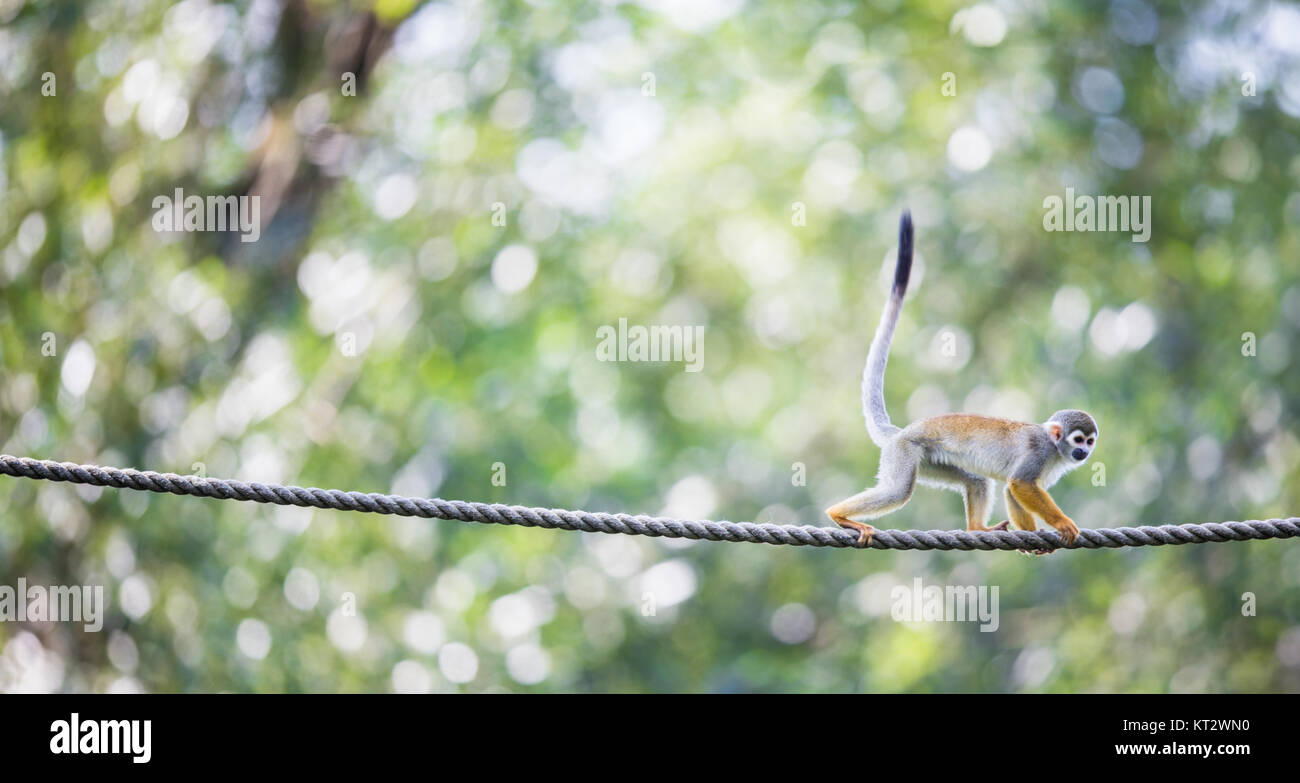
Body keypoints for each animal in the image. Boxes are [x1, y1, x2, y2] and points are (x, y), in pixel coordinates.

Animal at [821, 209, 1097, 548]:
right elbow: (1020, 483)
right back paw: (838, 514)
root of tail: (902, 431)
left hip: (929, 460)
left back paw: (977, 528)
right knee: (899, 489)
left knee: (975, 478)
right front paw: (1060, 523)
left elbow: (1012, 487)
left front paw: (1031, 538)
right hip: (905, 451)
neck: (1054, 448)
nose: (1084, 452)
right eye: (1078, 440)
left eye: (1090, 441)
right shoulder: (1038, 453)